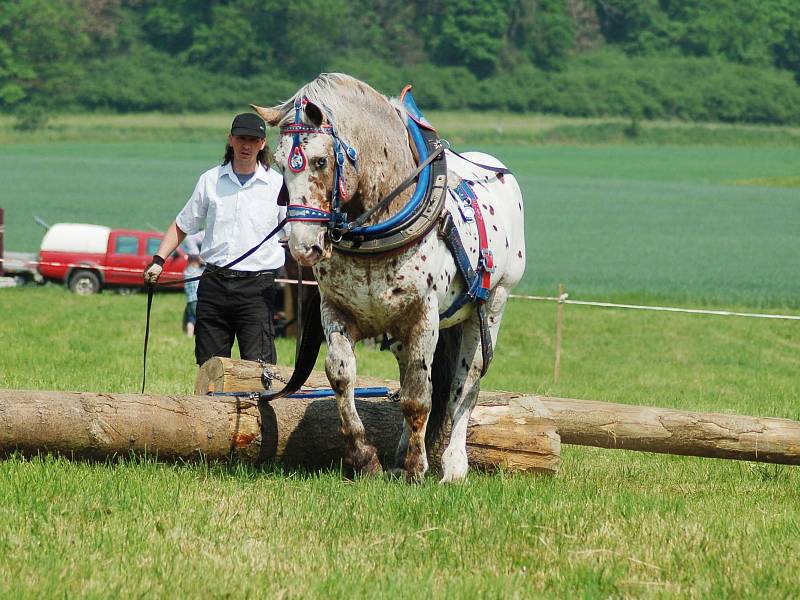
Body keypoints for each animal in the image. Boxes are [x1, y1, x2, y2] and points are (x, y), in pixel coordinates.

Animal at [252, 72, 524, 482]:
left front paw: (416, 467)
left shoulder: (423, 315)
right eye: (278, 163)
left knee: (464, 386)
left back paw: (453, 465)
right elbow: (342, 375)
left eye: (319, 161)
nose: (301, 247)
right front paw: (365, 457)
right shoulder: (337, 310)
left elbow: (418, 394)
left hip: (491, 307)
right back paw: (399, 453)